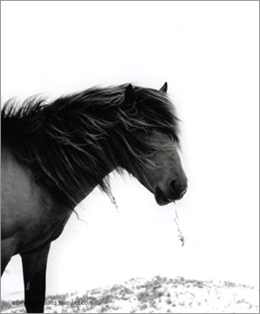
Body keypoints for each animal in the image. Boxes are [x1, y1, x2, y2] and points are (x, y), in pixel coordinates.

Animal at [0, 82, 187, 312]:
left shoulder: (37, 249)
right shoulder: (4, 248)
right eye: (140, 131)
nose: (179, 185)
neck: (33, 168)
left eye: (171, 134)